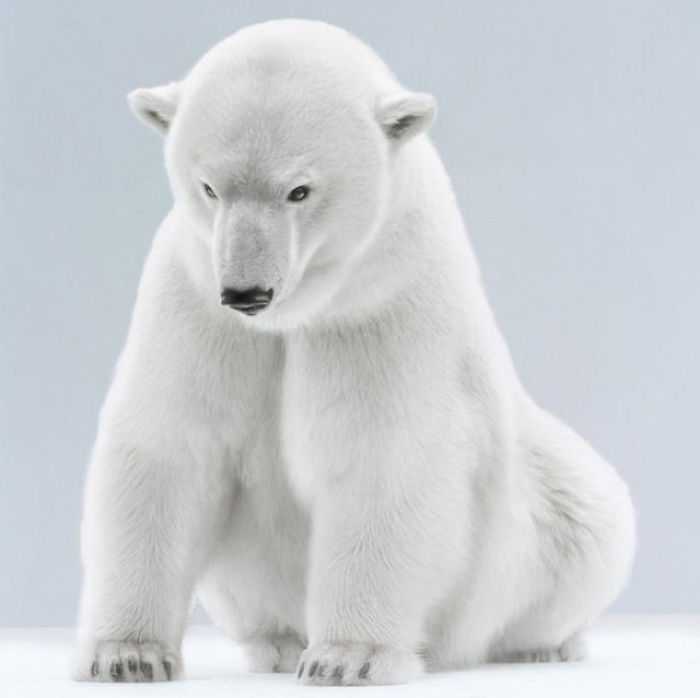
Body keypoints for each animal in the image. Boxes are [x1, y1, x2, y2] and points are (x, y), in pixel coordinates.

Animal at [74, 19, 636, 685]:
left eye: (300, 189)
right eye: (208, 187)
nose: (245, 291)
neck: (297, 314)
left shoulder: (381, 312)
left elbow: (381, 461)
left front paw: (347, 659)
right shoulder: (194, 306)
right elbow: (167, 450)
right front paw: (126, 655)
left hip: (549, 507)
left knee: (592, 515)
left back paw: (545, 645)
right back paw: (280, 641)